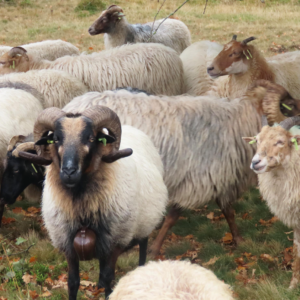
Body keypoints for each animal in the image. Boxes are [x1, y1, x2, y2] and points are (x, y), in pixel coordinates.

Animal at [21, 105, 169, 298]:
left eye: (91, 138)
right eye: (56, 139)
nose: (69, 172)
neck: (82, 208)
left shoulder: (115, 242)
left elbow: (108, 279)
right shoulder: (67, 244)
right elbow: (73, 282)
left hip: (145, 224)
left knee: (142, 249)